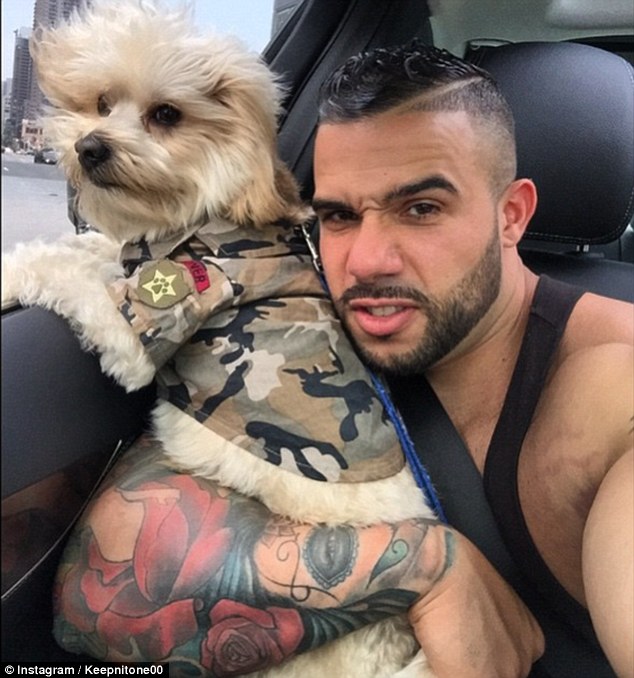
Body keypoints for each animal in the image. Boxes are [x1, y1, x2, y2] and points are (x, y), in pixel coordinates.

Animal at [1, 2, 437, 675]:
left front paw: (8, 274)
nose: (88, 146)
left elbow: (63, 270)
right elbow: (93, 251)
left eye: (166, 115)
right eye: (102, 103)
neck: (205, 214)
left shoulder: (144, 324)